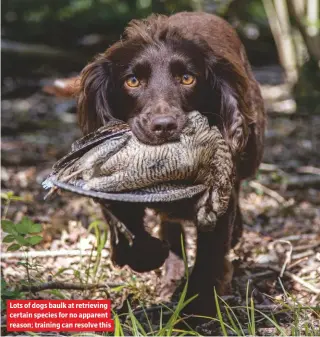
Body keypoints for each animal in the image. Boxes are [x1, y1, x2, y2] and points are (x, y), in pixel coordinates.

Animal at [45, 11, 264, 322]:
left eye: (187, 78)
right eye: (133, 81)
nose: (164, 126)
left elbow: (210, 254)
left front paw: (198, 308)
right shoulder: (110, 187)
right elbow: (129, 231)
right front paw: (151, 256)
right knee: (168, 224)